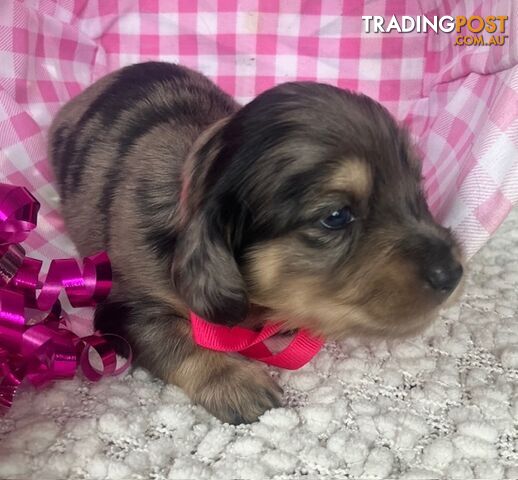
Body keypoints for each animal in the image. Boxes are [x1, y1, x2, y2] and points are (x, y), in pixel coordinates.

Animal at [47, 61, 464, 424]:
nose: (454, 273)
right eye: (335, 216)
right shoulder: (125, 309)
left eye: (417, 190)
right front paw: (234, 382)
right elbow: (176, 340)